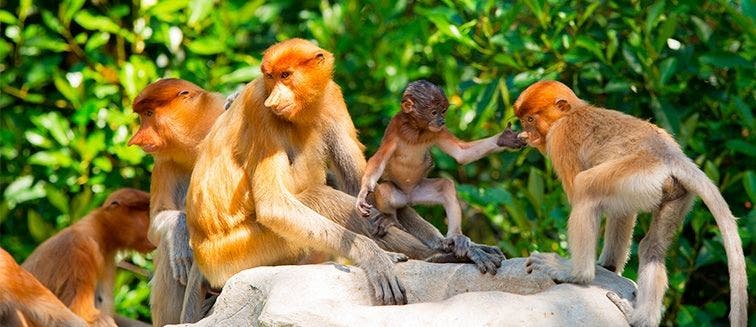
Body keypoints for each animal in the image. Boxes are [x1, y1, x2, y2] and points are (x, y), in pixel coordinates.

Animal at [128, 77, 227, 326]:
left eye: (149, 113)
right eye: (142, 116)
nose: (136, 139)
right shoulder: (164, 163)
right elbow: (156, 225)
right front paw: (181, 232)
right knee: (167, 245)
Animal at [356, 80, 524, 262]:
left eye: (443, 111)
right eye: (434, 112)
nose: (442, 120)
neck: (416, 130)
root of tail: (409, 196)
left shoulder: (438, 132)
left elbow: (462, 154)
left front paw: (505, 139)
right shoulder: (395, 127)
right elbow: (378, 160)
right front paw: (363, 193)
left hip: (420, 190)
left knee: (446, 186)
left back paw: (456, 237)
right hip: (400, 193)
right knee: (386, 189)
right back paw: (391, 218)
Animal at [516, 80, 748, 327]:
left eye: (530, 119)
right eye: (523, 120)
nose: (525, 135)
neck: (572, 113)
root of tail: (670, 156)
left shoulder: (560, 138)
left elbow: (579, 193)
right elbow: (623, 212)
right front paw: (609, 267)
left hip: (637, 170)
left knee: (585, 188)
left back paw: (577, 273)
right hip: (677, 193)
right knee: (652, 247)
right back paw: (642, 317)